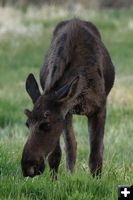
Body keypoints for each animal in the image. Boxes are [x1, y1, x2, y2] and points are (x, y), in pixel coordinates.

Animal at [21, 18, 115, 178]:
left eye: (46, 124)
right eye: (28, 124)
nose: (28, 168)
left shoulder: (100, 108)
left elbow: (96, 153)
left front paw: (97, 180)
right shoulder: (65, 113)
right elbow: (58, 153)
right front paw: (55, 180)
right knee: (71, 145)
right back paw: (70, 174)